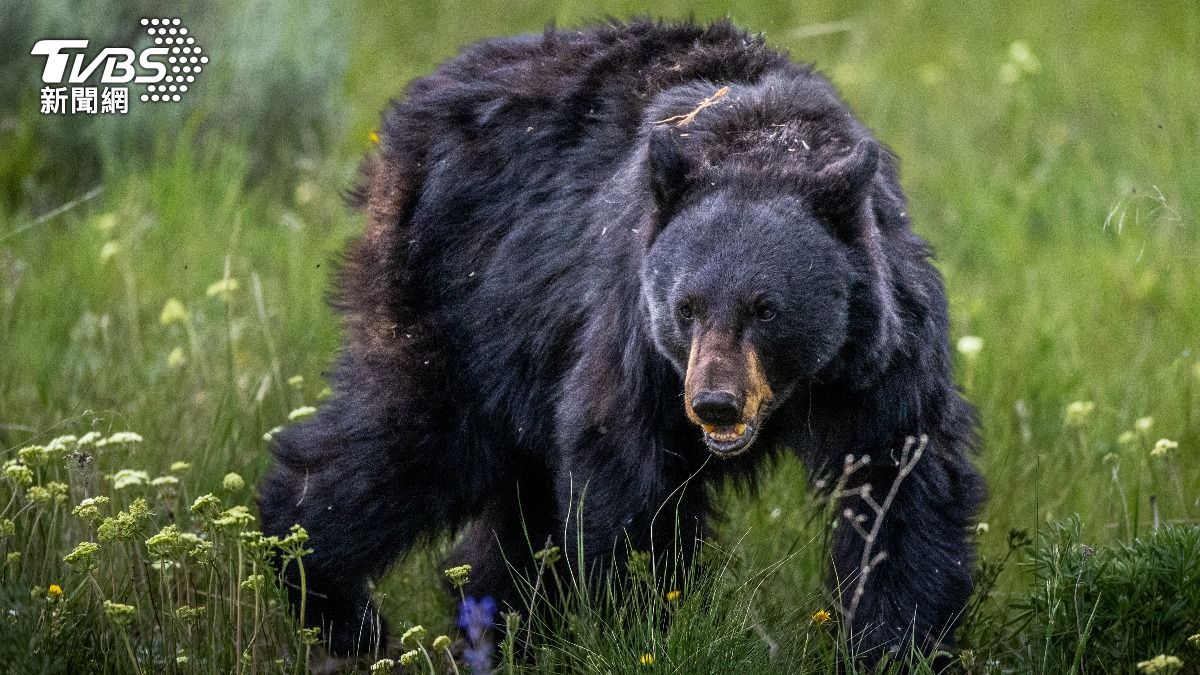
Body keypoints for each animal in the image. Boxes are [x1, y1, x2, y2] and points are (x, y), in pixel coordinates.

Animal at [257, 18, 985, 665]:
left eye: (766, 308)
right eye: (686, 307)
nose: (715, 403)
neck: (765, 145)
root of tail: (406, 115)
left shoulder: (882, 355)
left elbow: (902, 485)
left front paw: (897, 643)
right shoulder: (632, 335)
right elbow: (627, 479)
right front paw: (643, 622)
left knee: (513, 504)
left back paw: (500, 628)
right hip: (460, 301)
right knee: (410, 440)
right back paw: (331, 595)